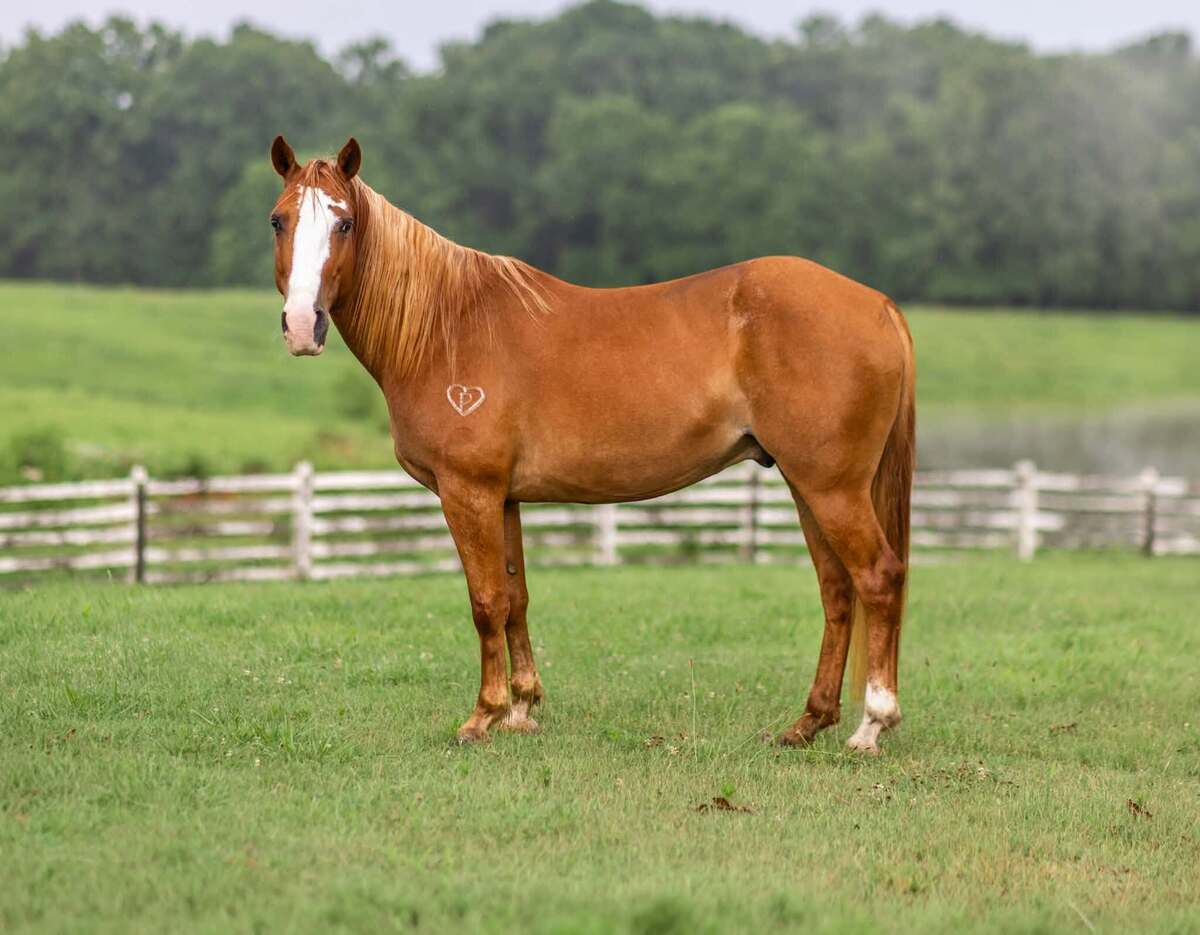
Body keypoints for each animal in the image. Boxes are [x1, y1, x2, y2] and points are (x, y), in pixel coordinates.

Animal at [267, 135, 915, 754]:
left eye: (345, 223)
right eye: (279, 220)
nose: (301, 326)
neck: (448, 328)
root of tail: (879, 304)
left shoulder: (468, 492)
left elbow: (486, 602)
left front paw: (484, 716)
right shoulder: (504, 498)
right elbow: (516, 597)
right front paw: (522, 710)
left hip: (832, 488)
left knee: (878, 579)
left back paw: (871, 726)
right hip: (807, 486)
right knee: (837, 591)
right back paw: (808, 723)